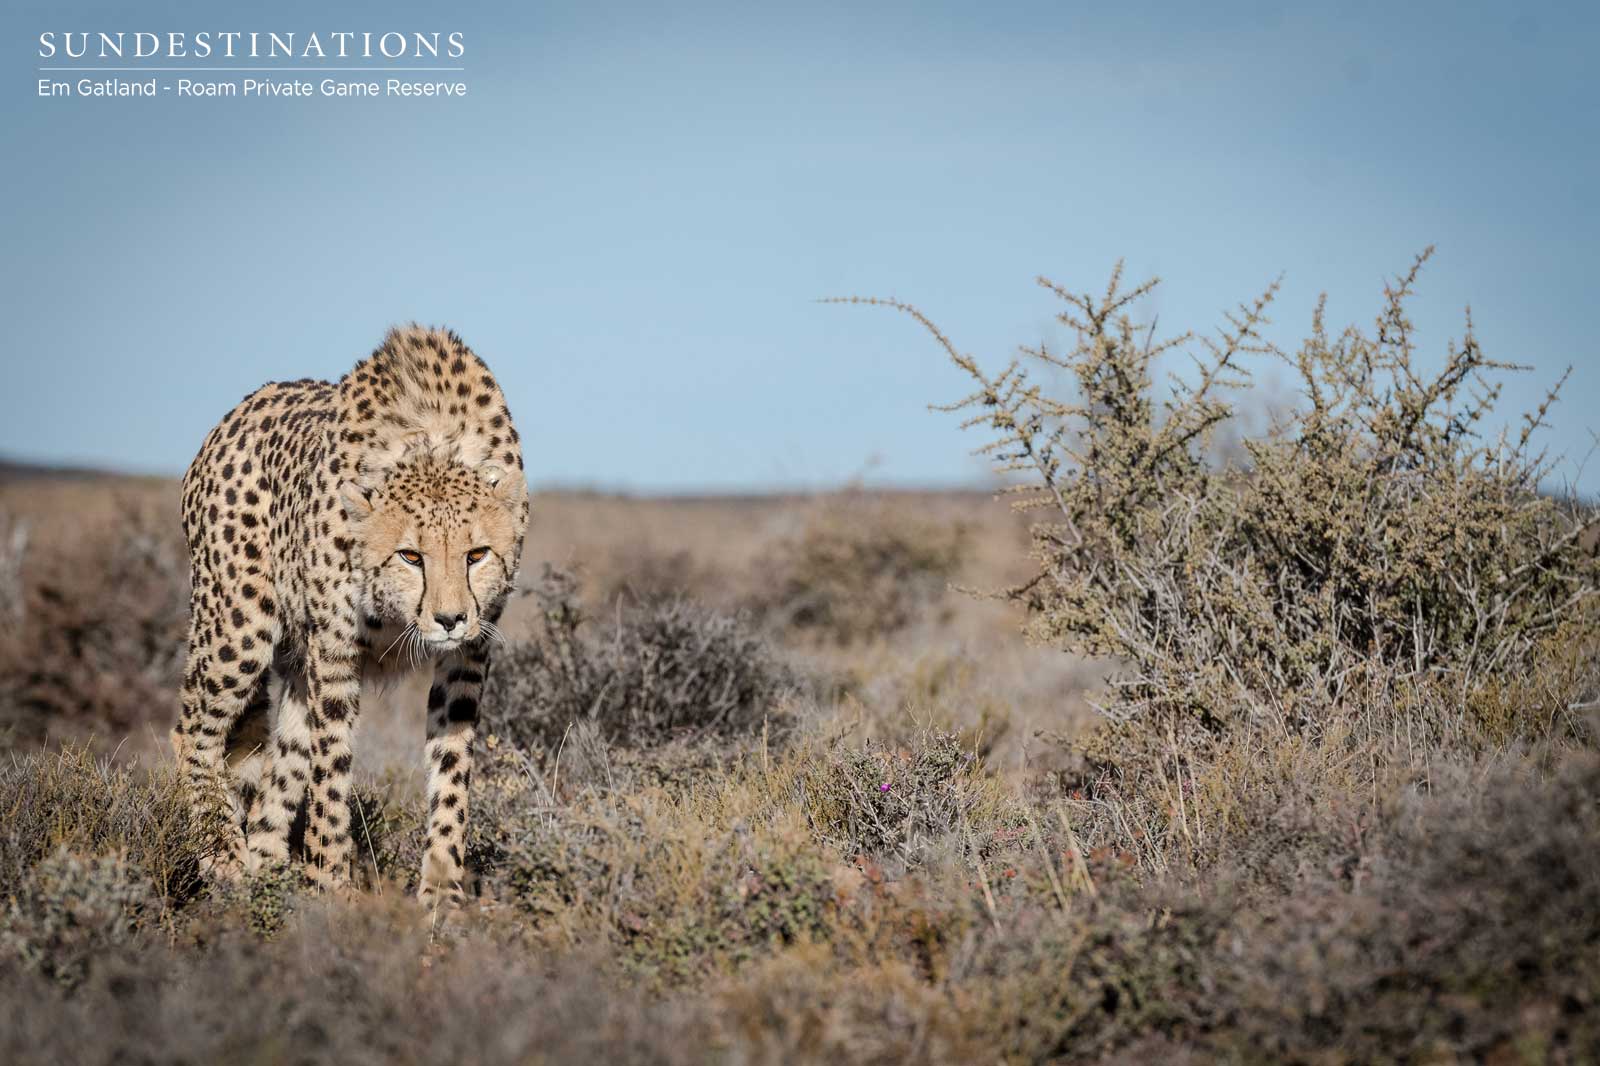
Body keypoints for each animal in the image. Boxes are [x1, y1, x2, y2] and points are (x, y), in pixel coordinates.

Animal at [173, 324, 529, 911]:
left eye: (477, 555)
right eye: (411, 556)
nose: (449, 618)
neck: (430, 443)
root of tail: (234, 415)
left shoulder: (469, 655)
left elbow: (452, 771)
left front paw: (441, 893)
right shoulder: (335, 650)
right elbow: (332, 773)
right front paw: (331, 885)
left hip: (293, 667)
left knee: (275, 781)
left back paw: (265, 877)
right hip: (238, 627)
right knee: (192, 734)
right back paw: (222, 851)